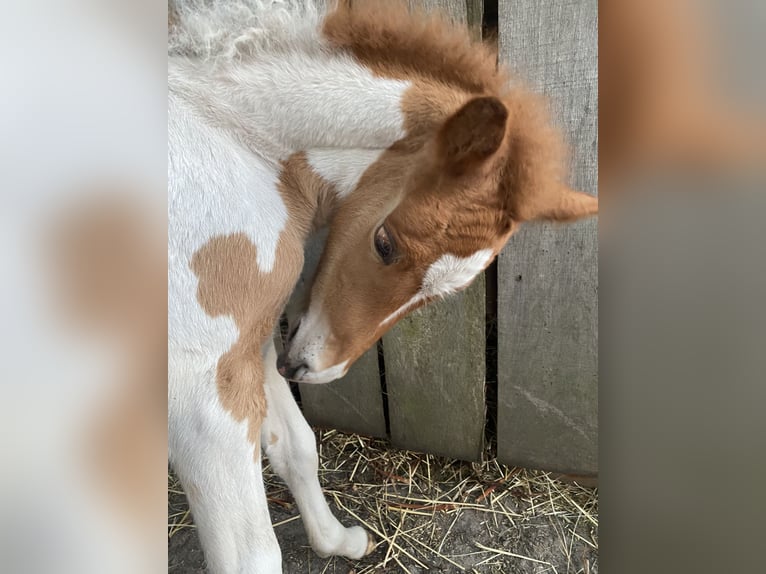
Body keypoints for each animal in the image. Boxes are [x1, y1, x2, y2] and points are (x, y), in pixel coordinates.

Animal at [168, 2, 600, 572]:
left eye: (441, 296)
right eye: (385, 243)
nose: (313, 368)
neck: (227, 132)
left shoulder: (249, 344)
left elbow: (296, 445)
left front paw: (338, 541)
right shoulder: (200, 387)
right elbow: (252, 557)